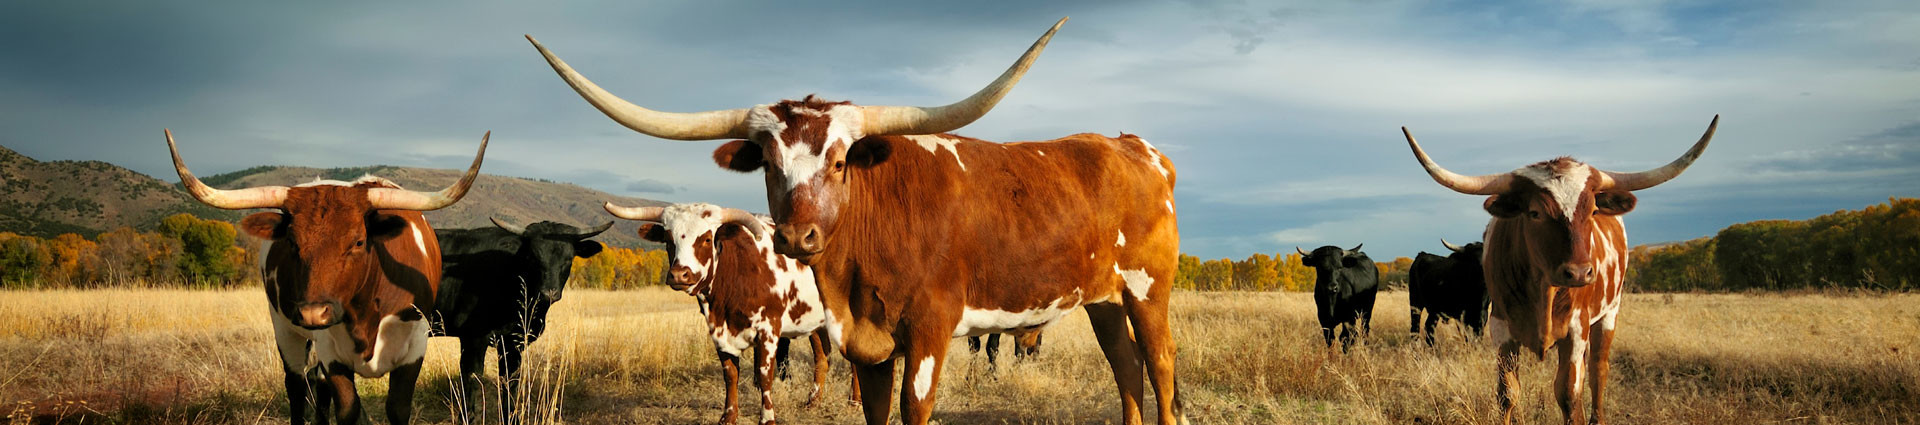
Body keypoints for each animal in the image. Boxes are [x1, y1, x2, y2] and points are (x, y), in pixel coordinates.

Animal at [166, 129, 487, 425]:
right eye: (292, 242)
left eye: (358, 241)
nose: (313, 313)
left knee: (317, 387)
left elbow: (397, 409)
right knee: (297, 385)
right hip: (285, 329)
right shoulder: (330, 353)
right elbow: (347, 410)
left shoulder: (415, 348)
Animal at [433, 217, 606, 423]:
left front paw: (511, 418)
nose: (549, 292)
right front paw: (467, 418)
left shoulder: (513, 341)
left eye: (568, 259)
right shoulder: (474, 337)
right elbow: (472, 377)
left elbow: (511, 381)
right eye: (532, 258)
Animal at [602, 202, 837, 425]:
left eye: (707, 239)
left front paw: (767, 418)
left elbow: (764, 376)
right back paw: (813, 402)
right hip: (816, 322)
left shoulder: (769, 330)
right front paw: (728, 417)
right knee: (822, 357)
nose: (679, 274)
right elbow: (730, 375)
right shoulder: (718, 332)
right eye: (668, 239)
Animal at [1405, 114, 1720, 423]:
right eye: (1534, 213)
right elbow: (1507, 394)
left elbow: (1569, 395)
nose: (1579, 273)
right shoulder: (1500, 328)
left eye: (1592, 210)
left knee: (1598, 371)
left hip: (1609, 313)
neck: (1542, 292)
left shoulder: (1576, 330)